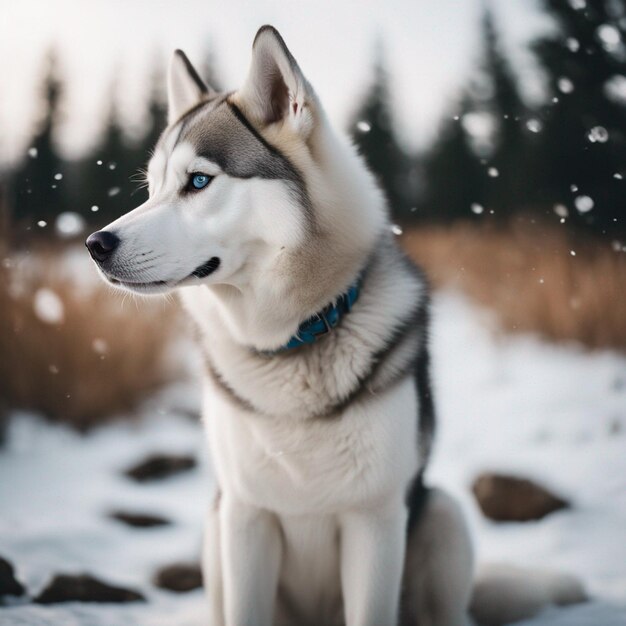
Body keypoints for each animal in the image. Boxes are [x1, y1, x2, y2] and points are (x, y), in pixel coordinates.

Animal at [86, 25, 584, 624]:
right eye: (153, 187)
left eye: (199, 181)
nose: (95, 244)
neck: (294, 340)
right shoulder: (245, 517)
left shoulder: (375, 522)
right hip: (215, 522)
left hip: (442, 514)